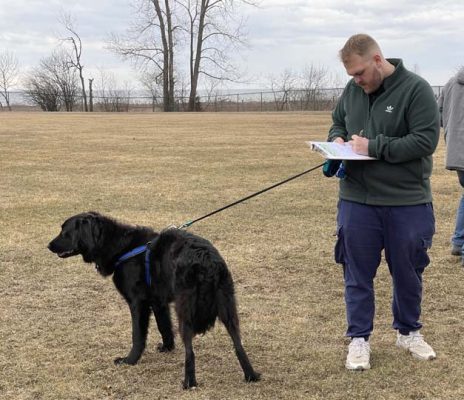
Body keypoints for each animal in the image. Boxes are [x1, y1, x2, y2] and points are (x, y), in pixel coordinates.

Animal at [48, 211, 260, 390]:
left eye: (65, 232)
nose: (48, 246)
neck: (119, 246)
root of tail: (206, 259)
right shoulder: (159, 302)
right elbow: (164, 326)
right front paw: (167, 347)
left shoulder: (137, 304)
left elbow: (137, 335)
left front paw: (129, 360)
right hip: (228, 308)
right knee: (238, 345)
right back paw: (251, 376)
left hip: (186, 313)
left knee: (190, 352)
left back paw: (188, 383)